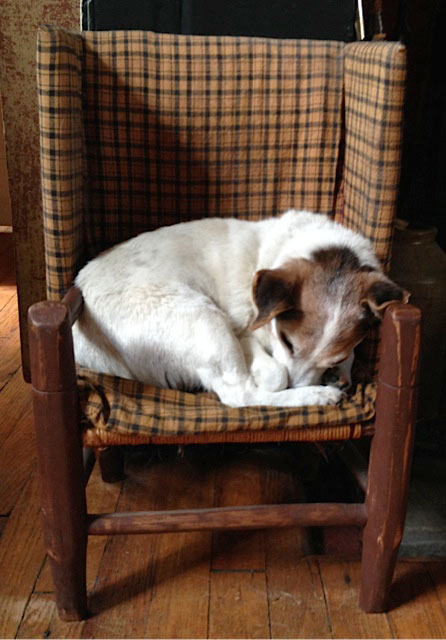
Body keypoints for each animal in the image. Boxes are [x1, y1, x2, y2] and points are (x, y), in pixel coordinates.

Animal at [72, 212, 408, 408]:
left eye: (335, 357)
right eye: (287, 342)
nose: (304, 383)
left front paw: (339, 373)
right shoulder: (246, 334)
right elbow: (275, 374)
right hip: (204, 318)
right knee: (241, 396)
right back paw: (316, 396)